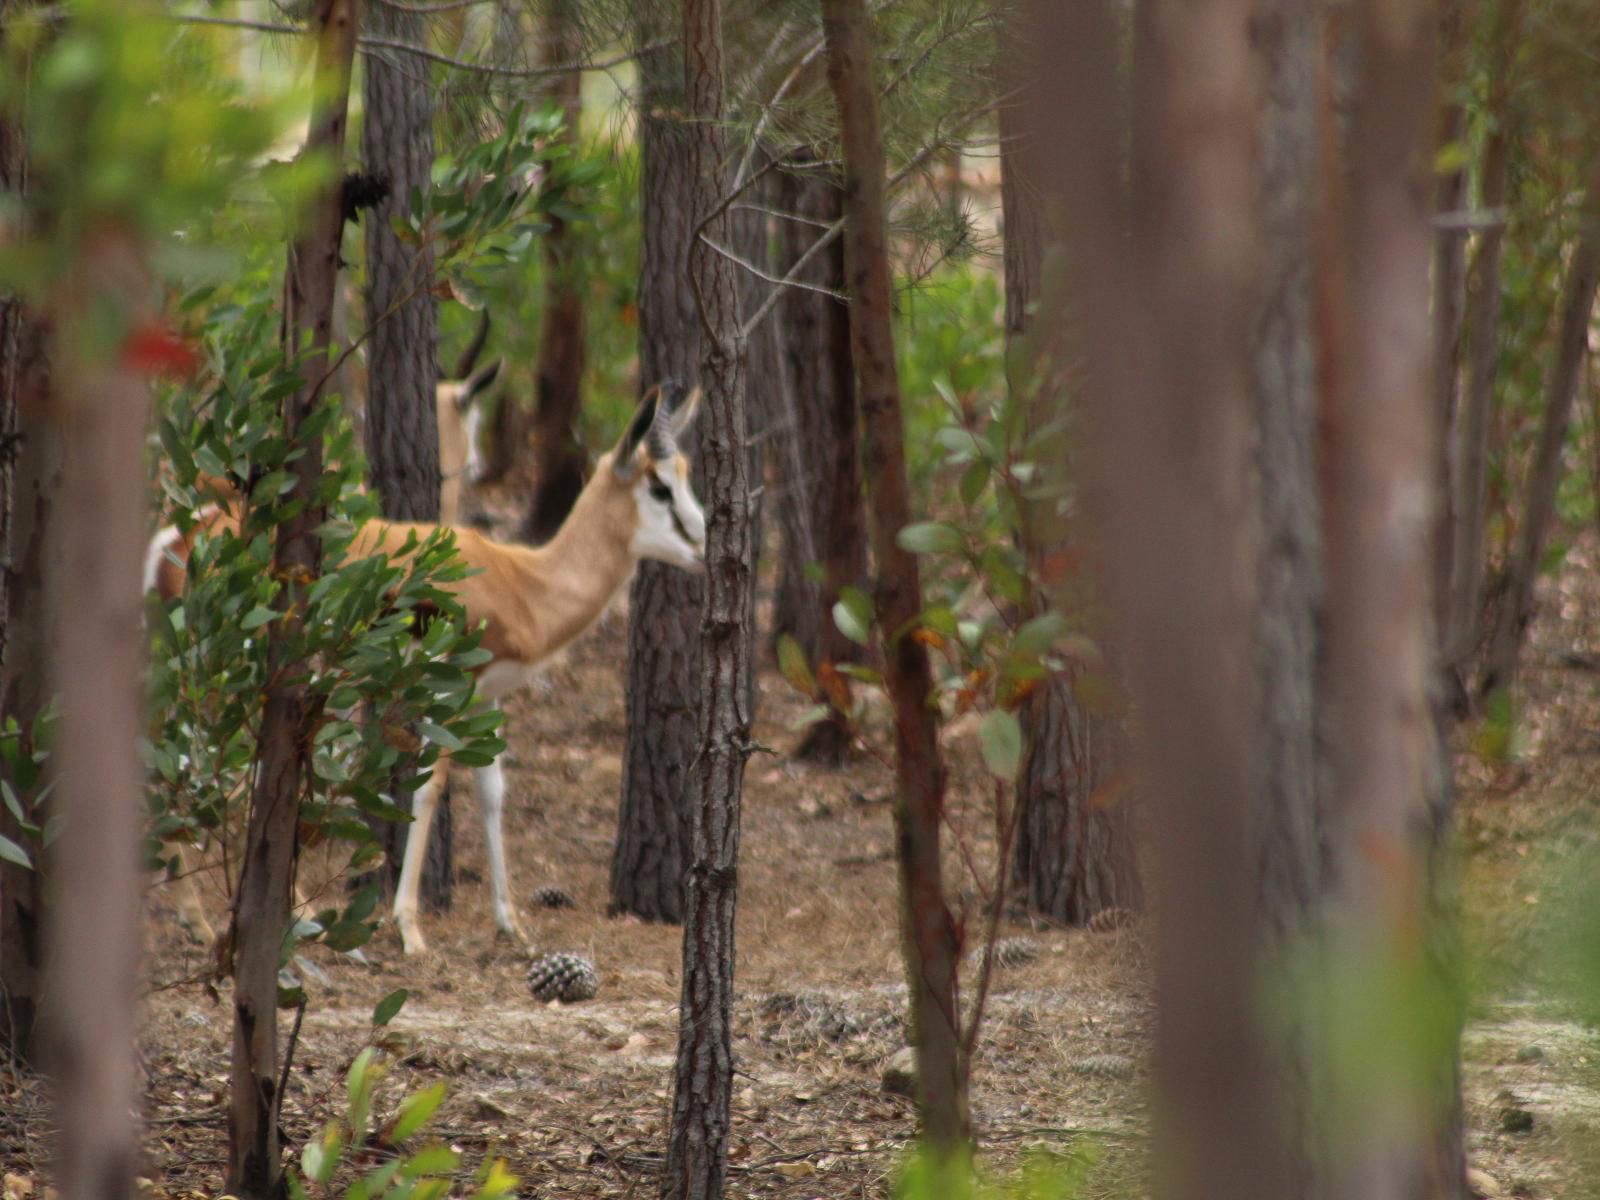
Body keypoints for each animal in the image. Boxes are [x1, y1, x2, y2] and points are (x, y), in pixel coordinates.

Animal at [145, 385, 707, 960]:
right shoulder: (446, 689)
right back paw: (289, 916)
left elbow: (492, 792)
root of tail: (188, 537)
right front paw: (410, 929)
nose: (704, 545)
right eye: (660, 487)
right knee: (219, 769)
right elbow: (429, 788)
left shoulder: (488, 697)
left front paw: (511, 923)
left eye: (686, 475)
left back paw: (201, 919)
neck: (524, 584)